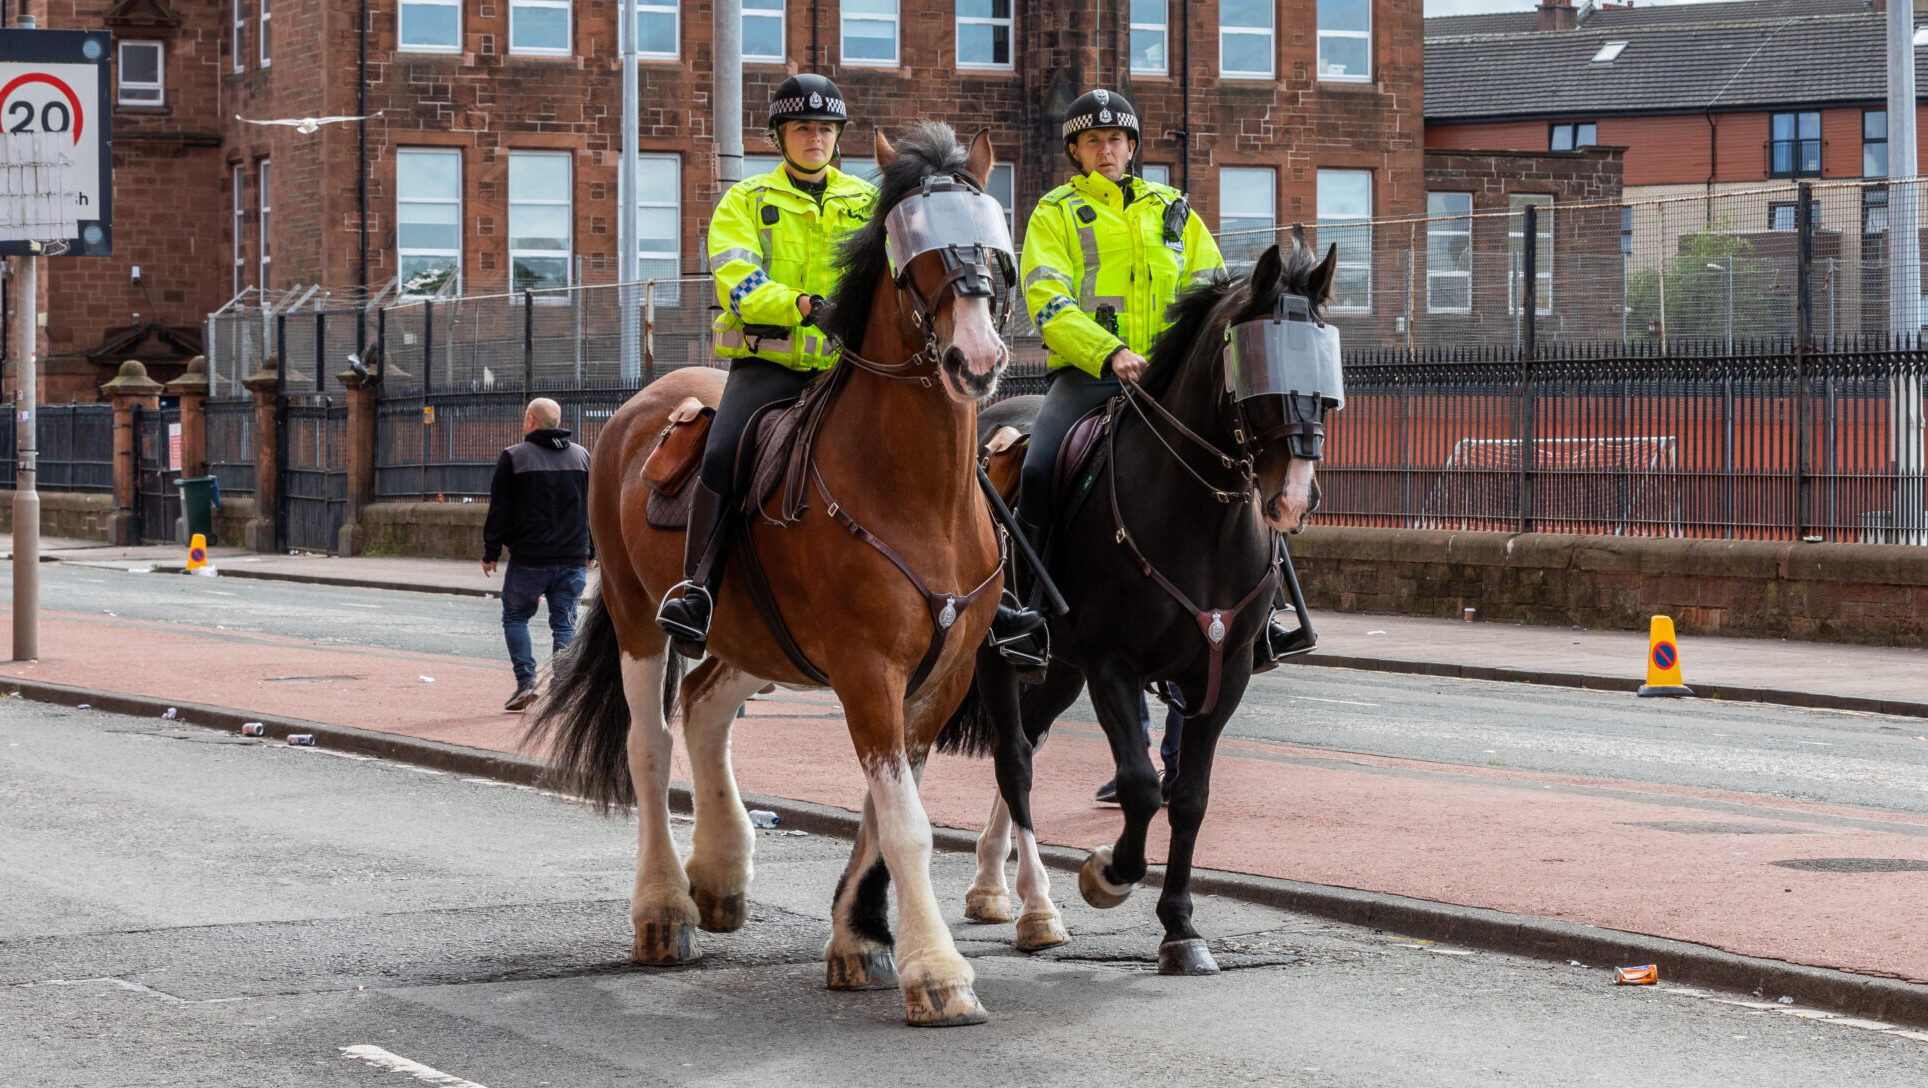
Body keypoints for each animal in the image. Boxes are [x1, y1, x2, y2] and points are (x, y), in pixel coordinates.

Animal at [527, 122, 1014, 1027]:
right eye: (913, 251)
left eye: (993, 240)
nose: (977, 358)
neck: (914, 490)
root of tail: (640, 407)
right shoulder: (866, 668)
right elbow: (906, 823)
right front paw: (936, 972)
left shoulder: (941, 676)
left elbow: (884, 811)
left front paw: (858, 937)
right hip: (642, 618)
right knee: (652, 744)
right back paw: (664, 908)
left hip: (753, 636)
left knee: (704, 705)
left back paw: (719, 871)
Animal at [948, 237, 1337, 974]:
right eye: (1256, 364)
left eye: (1324, 364)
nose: (1294, 497)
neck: (1198, 519)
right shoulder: (1113, 663)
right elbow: (1138, 783)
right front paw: (1107, 874)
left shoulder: (1223, 671)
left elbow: (1188, 796)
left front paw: (1180, 927)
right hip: (1002, 656)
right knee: (1013, 758)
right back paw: (1030, 906)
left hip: (1058, 671)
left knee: (1028, 748)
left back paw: (992, 885)